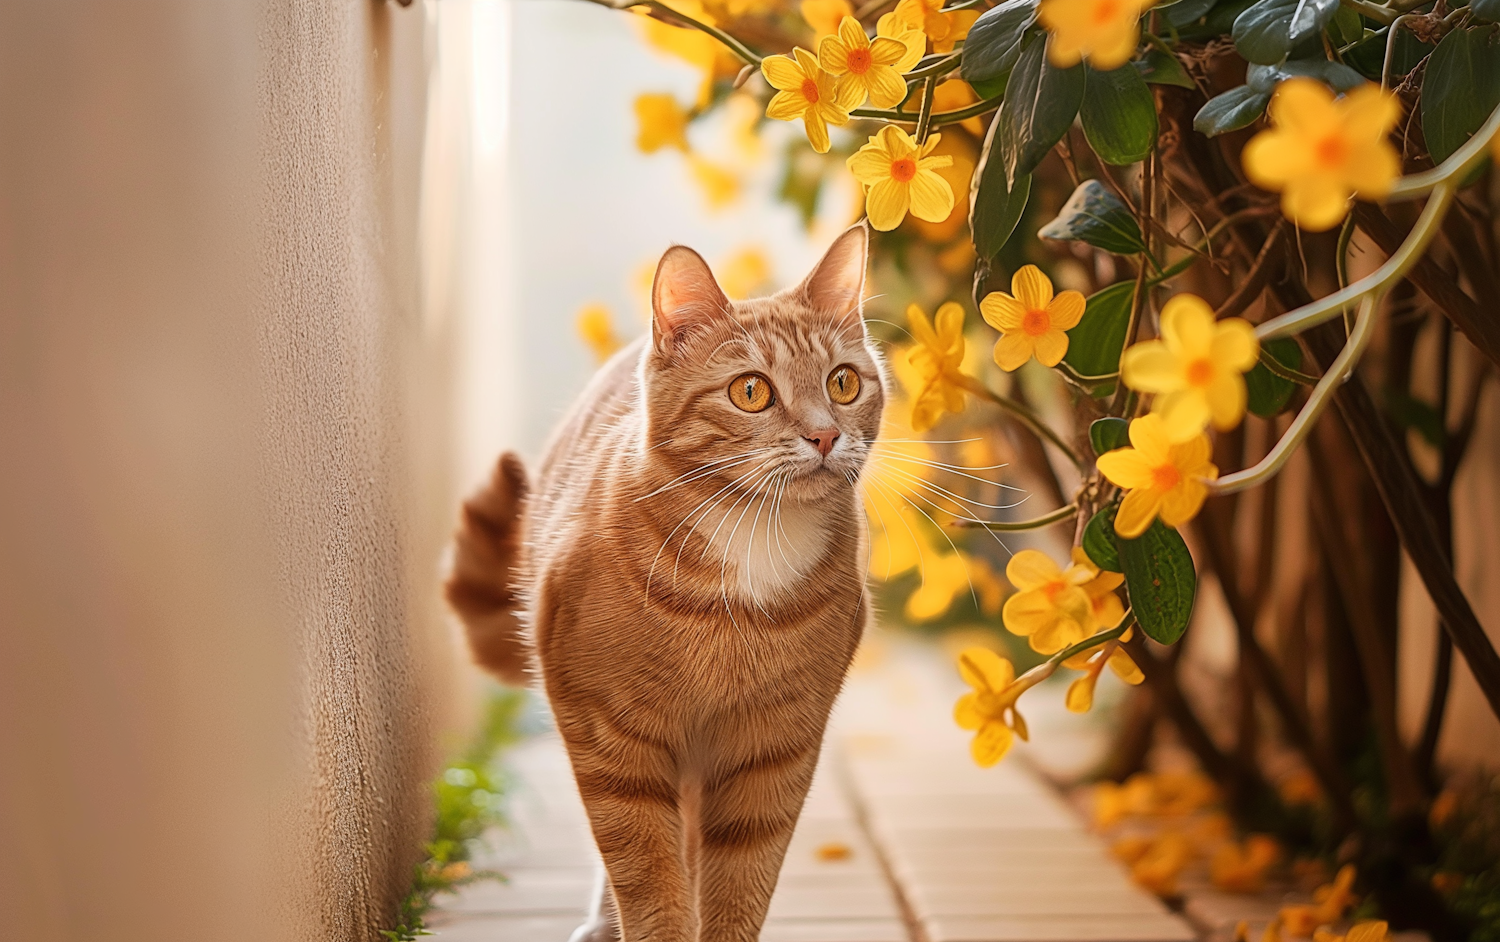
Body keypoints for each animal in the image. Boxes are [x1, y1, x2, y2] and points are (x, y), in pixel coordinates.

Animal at [450, 226, 882, 942]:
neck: (751, 549)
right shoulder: (609, 737)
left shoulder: (775, 750)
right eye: (752, 392)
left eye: (843, 383)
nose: (825, 435)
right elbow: (646, 870)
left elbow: (741, 879)